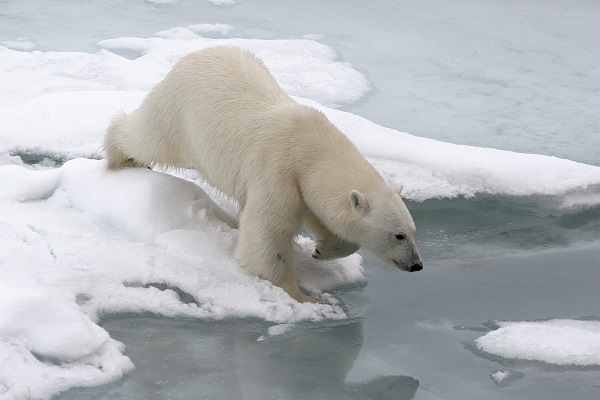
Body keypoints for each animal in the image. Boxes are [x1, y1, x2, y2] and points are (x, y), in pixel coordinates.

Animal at [104, 46, 422, 304]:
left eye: (413, 230)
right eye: (398, 235)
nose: (417, 265)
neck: (311, 148)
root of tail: (194, 54)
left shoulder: (302, 186)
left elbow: (320, 218)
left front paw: (322, 250)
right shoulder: (278, 169)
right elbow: (269, 233)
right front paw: (302, 296)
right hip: (178, 112)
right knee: (148, 136)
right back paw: (120, 155)